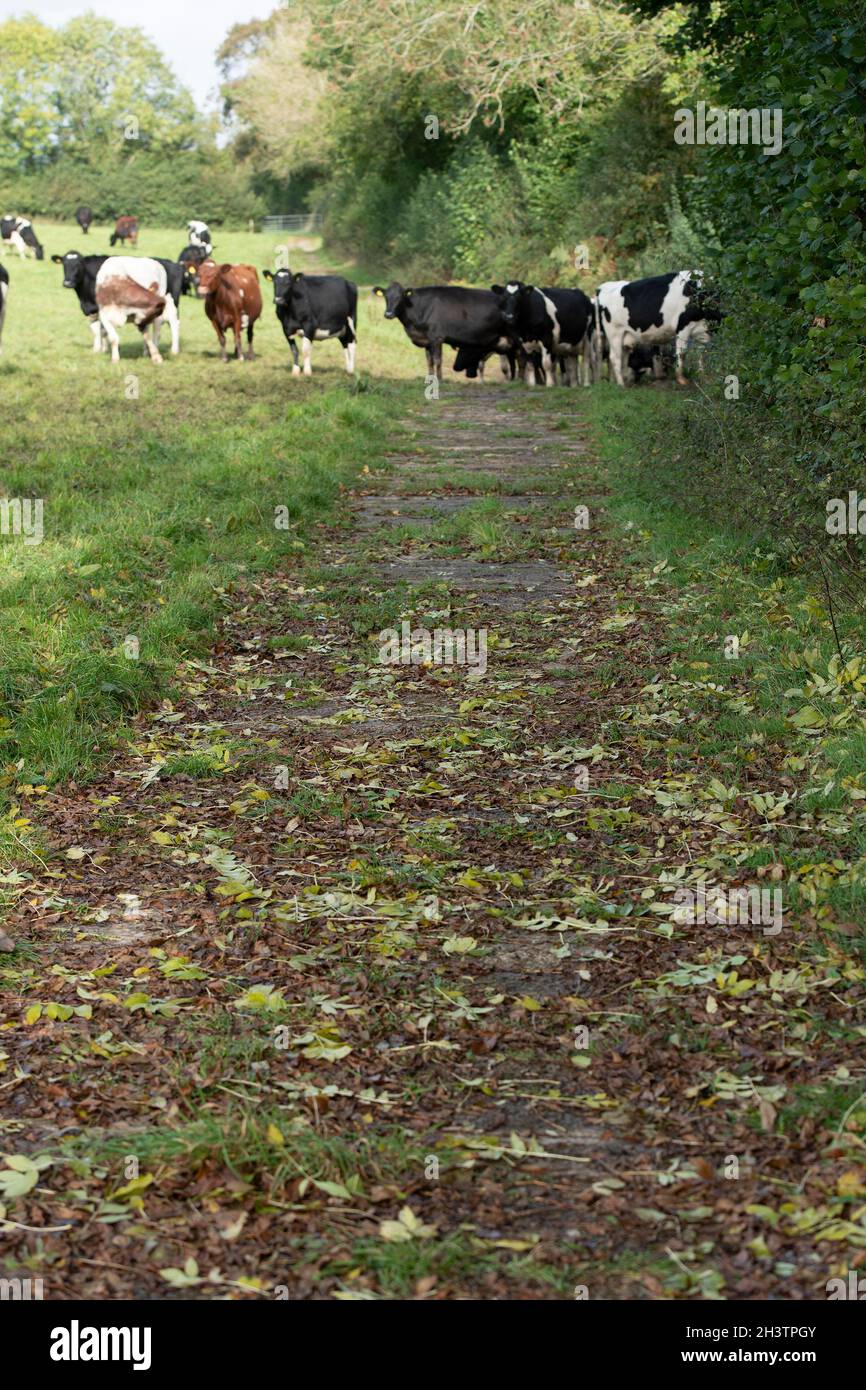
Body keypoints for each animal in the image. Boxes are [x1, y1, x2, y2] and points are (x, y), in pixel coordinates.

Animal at [369, 282, 508, 380]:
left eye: (399, 297)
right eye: (386, 297)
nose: (388, 314)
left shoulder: (437, 337)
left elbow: (437, 360)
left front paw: (440, 379)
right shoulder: (427, 339)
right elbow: (429, 361)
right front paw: (430, 378)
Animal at [592, 269, 722, 386]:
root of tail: (602, 287)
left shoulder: (704, 331)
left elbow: (703, 353)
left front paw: (704, 377)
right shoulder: (683, 326)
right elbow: (682, 353)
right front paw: (681, 380)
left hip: (624, 334)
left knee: (624, 356)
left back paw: (626, 381)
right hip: (614, 333)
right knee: (615, 357)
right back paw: (621, 384)